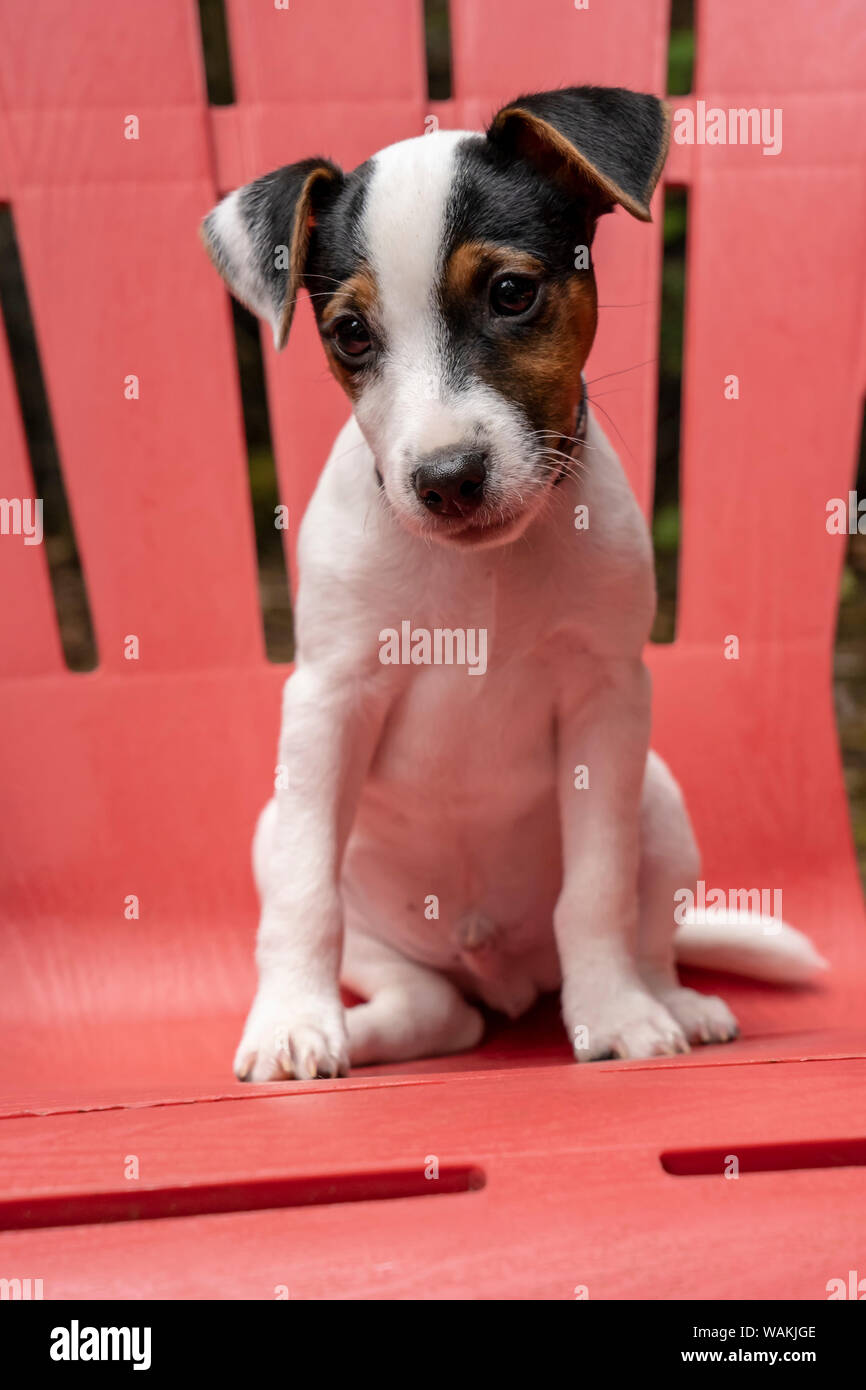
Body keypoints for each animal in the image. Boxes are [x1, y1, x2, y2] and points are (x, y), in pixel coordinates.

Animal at [202, 89, 828, 1084]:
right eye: (351, 334)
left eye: (510, 293)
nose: (448, 478)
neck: (480, 569)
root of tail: (504, 969)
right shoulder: (329, 700)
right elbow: (305, 897)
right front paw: (294, 1021)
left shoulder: (606, 700)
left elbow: (599, 891)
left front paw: (616, 1014)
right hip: (293, 840)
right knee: (436, 1009)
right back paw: (362, 1032)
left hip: (659, 802)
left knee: (648, 934)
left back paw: (671, 1003)